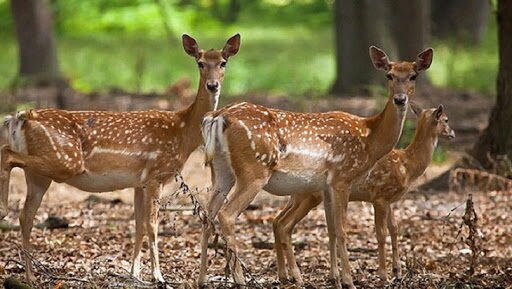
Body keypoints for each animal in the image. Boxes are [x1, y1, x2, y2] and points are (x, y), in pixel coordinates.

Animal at [0, 33, 241, 282]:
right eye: (200, 63)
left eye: (223, 62)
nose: (213, 85)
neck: (184, 133)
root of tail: (21, 117)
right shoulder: (155, 174)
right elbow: (152, 225)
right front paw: (158, 276)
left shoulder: (138, 182)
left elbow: (139, 225)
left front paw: (134, 274)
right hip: (65, 160)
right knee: (7, 154)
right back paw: (3, 211)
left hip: (39, 175)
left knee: (26, 216)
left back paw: (30, 277)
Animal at [198, 46, 434, 286]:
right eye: (389, 75)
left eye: (413, 75)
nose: (400, 99)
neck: (369, 139)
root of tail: (217, 116)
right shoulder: (342, 177)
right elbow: (342, 230)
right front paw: (349, 281)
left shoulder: (326, 186)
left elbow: (332, 230)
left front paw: (336, 279)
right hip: (254, 170)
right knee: (227, 215)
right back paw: (240, 279)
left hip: (221, 170)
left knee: (207, 213)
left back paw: (202, 278)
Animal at [274, 102, 454, 282]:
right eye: (446, 119)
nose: (452, 133)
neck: (407, 165)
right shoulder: (380, 196)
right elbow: (381, 234)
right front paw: (384, 275)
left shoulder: (388, 199)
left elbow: (394, 228)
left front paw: (397, 271)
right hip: (310, 195)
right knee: (285, 224)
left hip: (301, 196)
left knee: (279, 222)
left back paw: (292, 275)